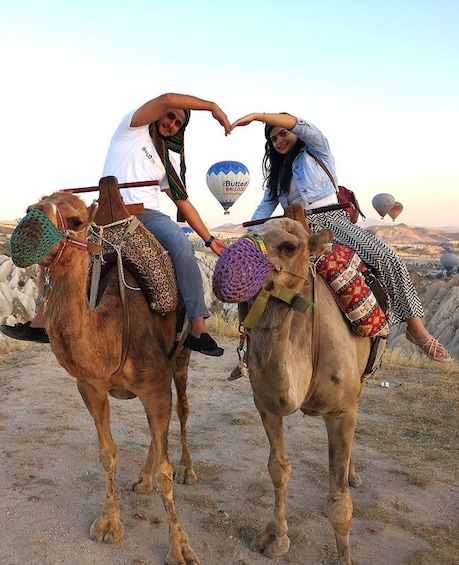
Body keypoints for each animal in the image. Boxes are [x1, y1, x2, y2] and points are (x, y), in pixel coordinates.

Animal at [13, 188, 199, 564]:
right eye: (29, 207)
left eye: (76, 221)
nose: (26, 231)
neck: (112, 329)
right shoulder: (91, 388)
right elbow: (107, 453)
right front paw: (109, 524)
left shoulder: (156, 385)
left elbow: (166, 472)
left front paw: (180, 547)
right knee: (156, 429)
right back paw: (142, 480)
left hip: (181, 357)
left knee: (183, 410)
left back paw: (187, 469)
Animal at [234, 214, 384, 560]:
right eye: (252, 230)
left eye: (289, 247)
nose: (232, 257)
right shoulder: (266, 405)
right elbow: (278, 468)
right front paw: (275, 538)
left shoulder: (342, 410)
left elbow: (339, 504)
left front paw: (345, 559)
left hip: (360, 385)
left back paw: (351, 474)